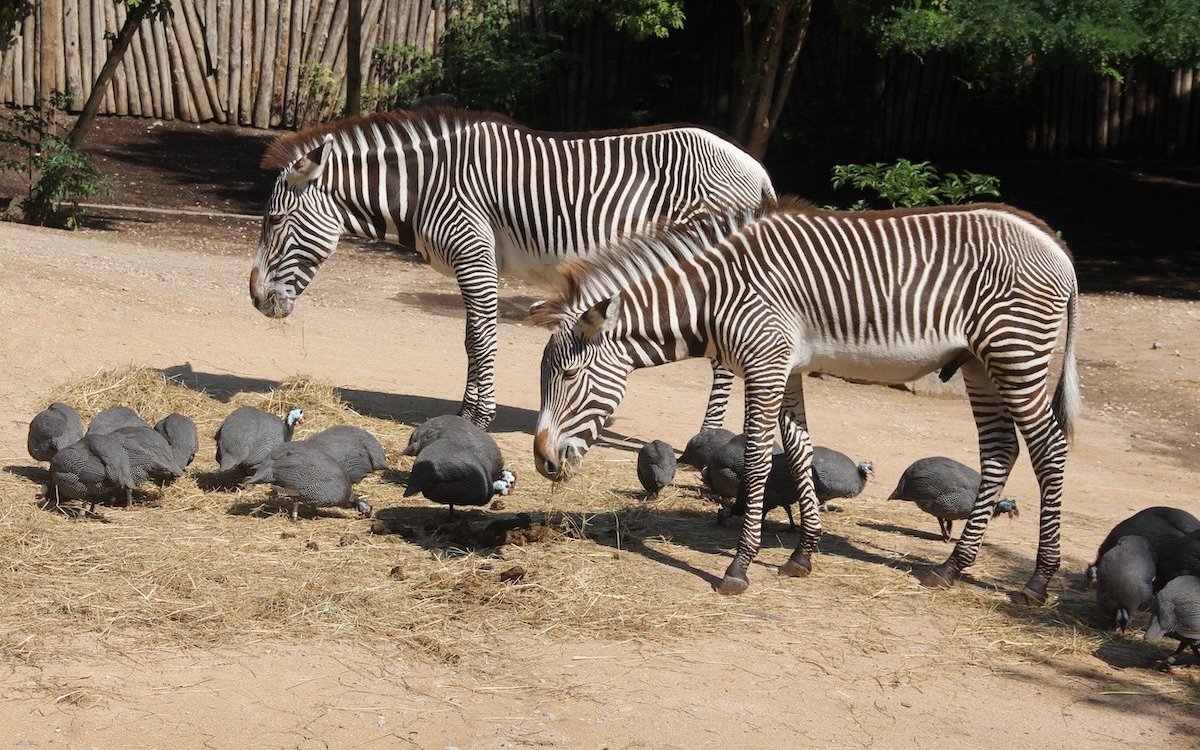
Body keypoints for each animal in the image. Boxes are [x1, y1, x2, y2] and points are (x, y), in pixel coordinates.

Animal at [249, 108, 775, 429]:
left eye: (273, 220)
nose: (254, 298)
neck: (426, 185)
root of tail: (758, 169)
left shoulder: (474, 253)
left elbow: (481, 340)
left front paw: (478, 420)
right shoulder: (475, 263)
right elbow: (471, 340)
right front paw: (467, 415)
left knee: (723, 360)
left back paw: (702, 444)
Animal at [531, 199, 1080, 603]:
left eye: (571, 375)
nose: (542, 462)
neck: (714, 296)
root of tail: (1053, 242)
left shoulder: (765, 364)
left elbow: (756, 459)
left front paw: (739, 566)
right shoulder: (788, 368)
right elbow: (799, 451)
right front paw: (803, 554)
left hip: (1014, 352)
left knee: (1049, 450)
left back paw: (1037, 581)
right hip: (979, 364)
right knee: (1001, 451)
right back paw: (951, 568)